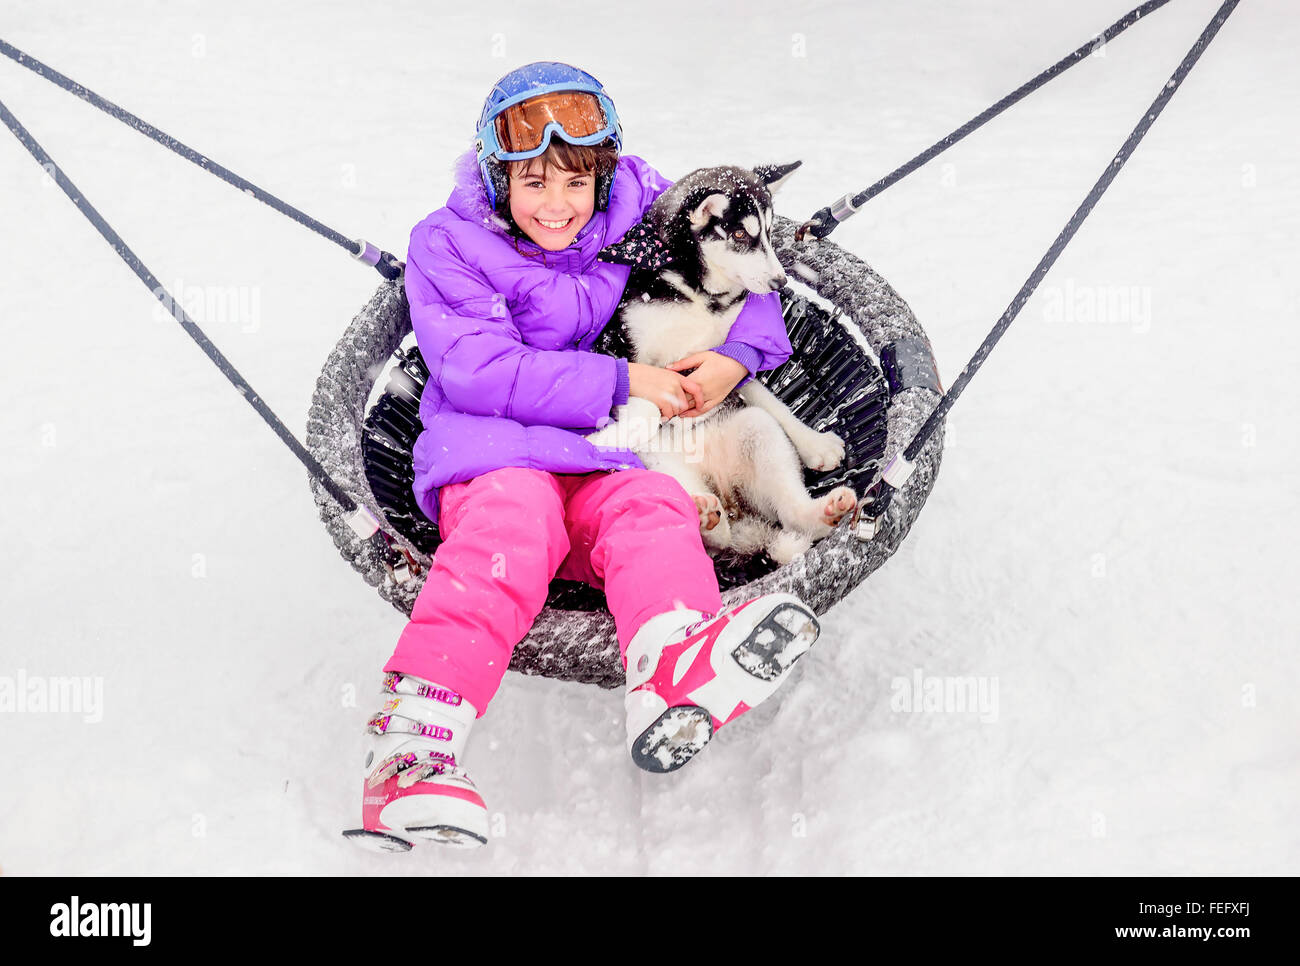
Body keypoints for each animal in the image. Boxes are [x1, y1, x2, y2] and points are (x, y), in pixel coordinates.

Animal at [587, 161, 852, 564]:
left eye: (770, 234)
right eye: (740, 233)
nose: (780, 282)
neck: (699, 294)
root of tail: (727, 497)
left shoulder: (724, 358)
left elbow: (767, 397)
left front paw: (814, 443)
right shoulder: (617, 349)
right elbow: (647, 404)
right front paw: (601, 439)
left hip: (757, 434)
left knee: (788, 512)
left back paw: (824, 511)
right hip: (659, 464)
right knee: (712, 537)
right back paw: (704, 518)